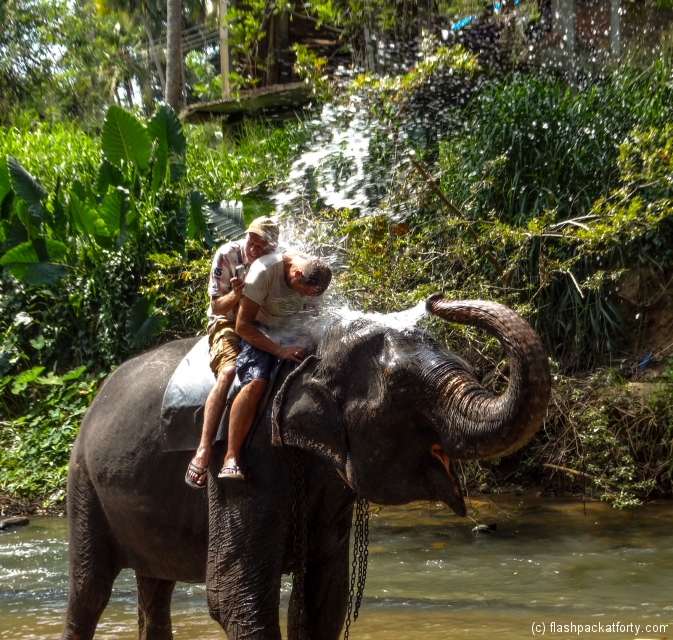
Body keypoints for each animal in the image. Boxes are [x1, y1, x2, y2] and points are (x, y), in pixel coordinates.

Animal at [62, 296, 550, 640]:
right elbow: (234, 595)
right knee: (90, 591)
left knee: (154, 584)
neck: (313, 350)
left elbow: (322, 601)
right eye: (402, 389)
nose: (435, 299)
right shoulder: (244, 457)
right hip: (83, 479)